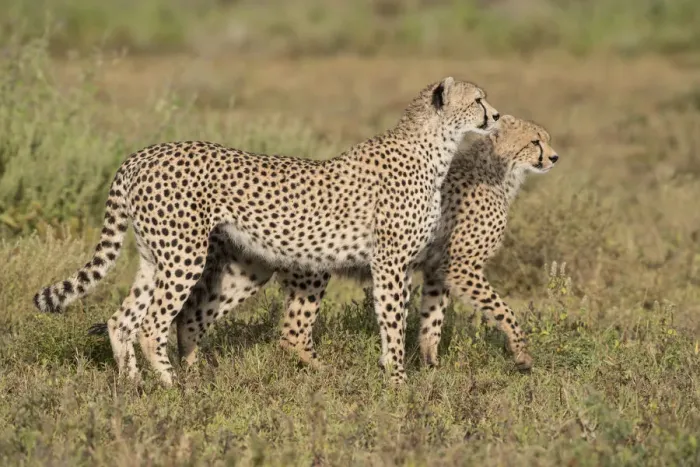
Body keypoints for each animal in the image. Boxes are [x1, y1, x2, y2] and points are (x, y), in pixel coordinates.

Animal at [34, 77, 501, 386]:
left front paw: (398, 375)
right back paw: (174, 388)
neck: (435, 147)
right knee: (151, 325)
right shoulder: (390, 264)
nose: (495, 115)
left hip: (166, 259)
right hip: (185, 255)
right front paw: (399, 382)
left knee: (122, 321)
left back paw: (134, 386)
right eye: (478, 99)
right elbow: (392, 322)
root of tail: (142, 154)